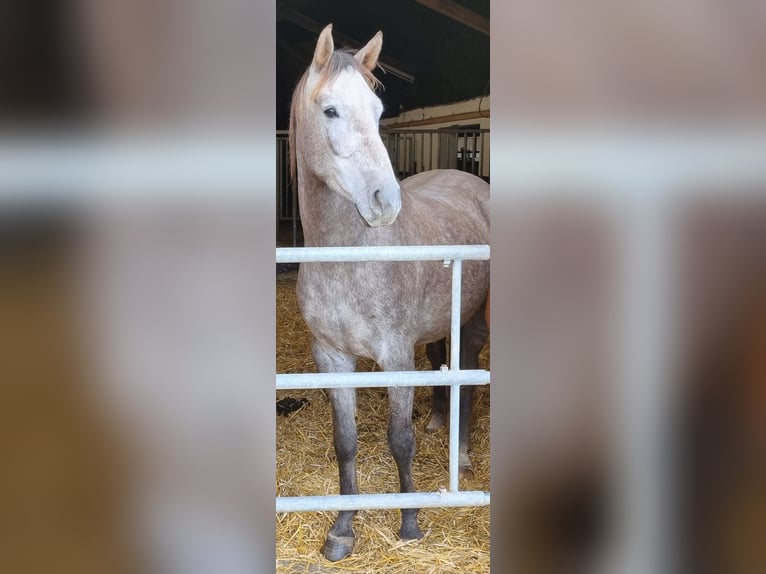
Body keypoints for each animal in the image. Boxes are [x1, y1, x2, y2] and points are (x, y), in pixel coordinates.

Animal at [288, 24, 492, 560]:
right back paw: (440, 423)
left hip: (474, 318)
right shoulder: (332, 357)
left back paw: (462, 454)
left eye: (379, 112)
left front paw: (410, 521)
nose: (386, 202)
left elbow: (399, 439)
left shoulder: (396, 356)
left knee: (467, 370)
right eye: (330, 110)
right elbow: (345, 440)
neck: (348, 259)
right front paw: (342, 529)